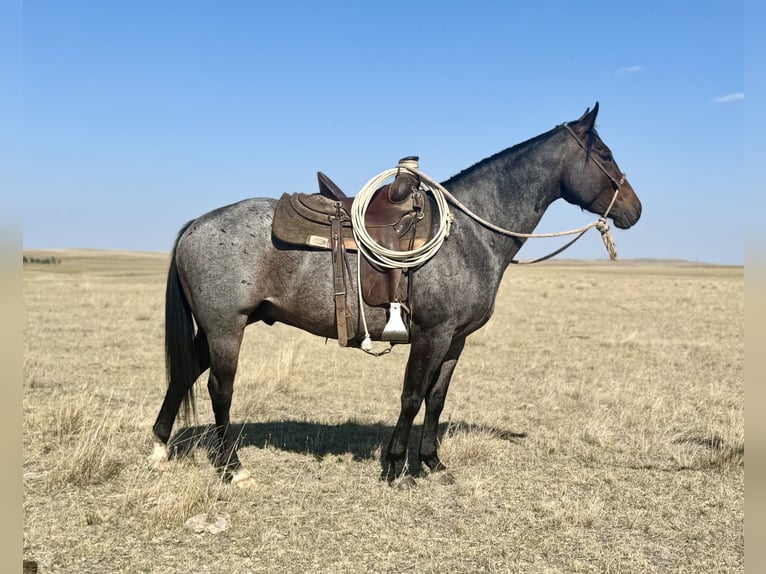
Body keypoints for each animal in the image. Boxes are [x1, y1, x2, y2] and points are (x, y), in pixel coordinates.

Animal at [150, 103, 642, 488]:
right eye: (604, 154)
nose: (634, 210)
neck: (469, 233)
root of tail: (196, 223)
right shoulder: (431, 333)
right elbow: (412, 395)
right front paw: (396, 467)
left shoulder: (455, 339)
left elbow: (436, 398)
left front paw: (431, 462)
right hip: (226, 327)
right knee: (219, 387)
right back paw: (232, 467)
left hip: (217, 326)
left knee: (185, 373)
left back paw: (159, 448)